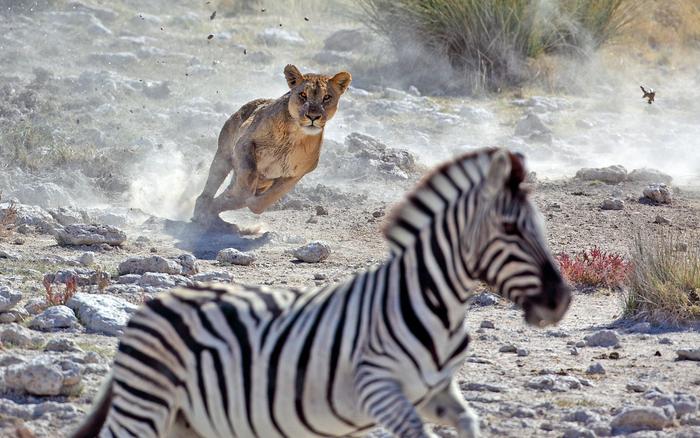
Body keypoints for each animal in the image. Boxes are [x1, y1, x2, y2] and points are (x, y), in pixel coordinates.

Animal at [71, 148, 572, 438]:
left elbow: (469, 421)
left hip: (186, 421)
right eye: (509, 229)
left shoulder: (435, 392)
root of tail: (153, 306)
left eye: (541, 228)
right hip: (144, 408)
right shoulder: (376, 388)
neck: (435, 305)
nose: (560, 301)